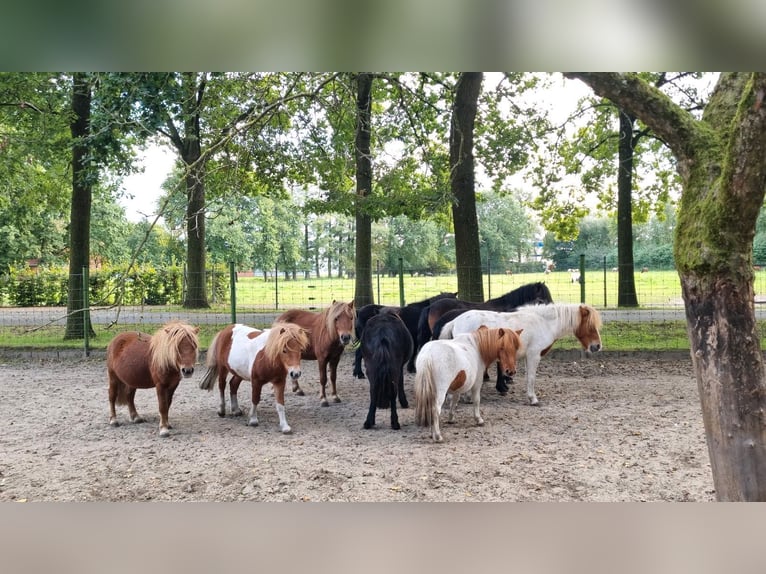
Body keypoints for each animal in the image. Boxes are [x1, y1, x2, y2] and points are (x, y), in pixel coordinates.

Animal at [440, 304, 604, 408]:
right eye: (590, 326)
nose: (597, 346)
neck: (544, 323)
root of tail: (455, 321)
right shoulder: (534, 355)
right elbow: (531, 378)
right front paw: (533, 399)